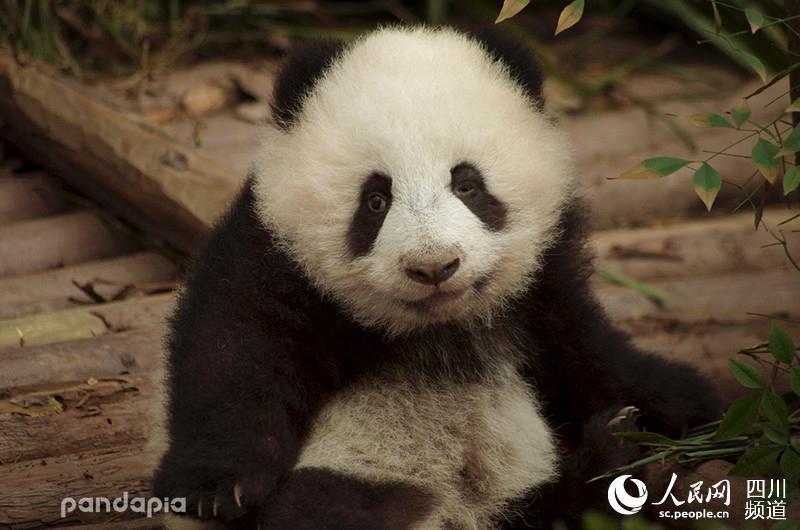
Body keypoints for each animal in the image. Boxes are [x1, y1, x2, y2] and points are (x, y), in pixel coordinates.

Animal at [150, 25, 721, 530]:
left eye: (467, 184)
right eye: (375, 200)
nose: (434, 267)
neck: (438, 328)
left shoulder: (542, 281)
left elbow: (584, 350)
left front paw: (682, 404)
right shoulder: (275, 255)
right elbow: (237, 345)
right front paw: (217, 486)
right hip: (367, 470)